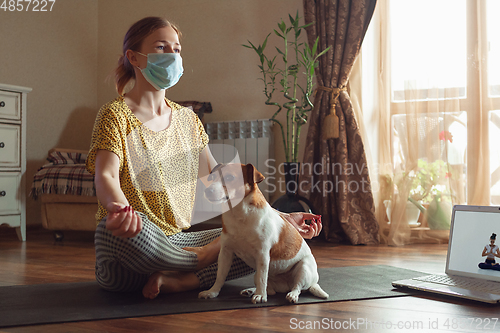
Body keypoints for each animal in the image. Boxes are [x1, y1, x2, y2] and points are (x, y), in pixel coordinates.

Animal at [197, 162, 330, 302]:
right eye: (212, 178)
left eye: (229, 178)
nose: (207, 191)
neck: (239, 214)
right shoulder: (225, 253)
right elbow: (220, 276)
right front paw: (212, 292)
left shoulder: (262, 254)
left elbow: (262, 277)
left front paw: (260, 296)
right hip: (260, 275)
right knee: (270, 290)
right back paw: (251, 291)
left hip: (303, 268)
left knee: (297, 286)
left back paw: (291, 295)